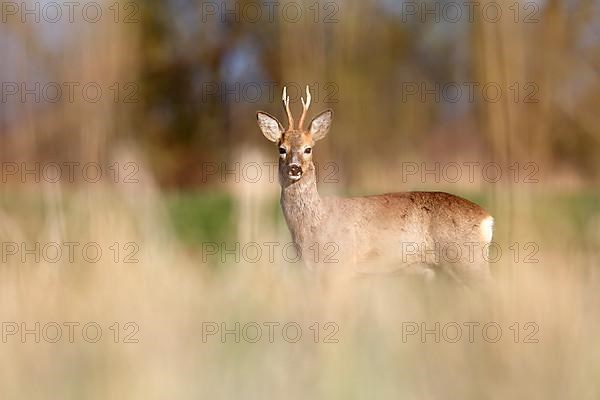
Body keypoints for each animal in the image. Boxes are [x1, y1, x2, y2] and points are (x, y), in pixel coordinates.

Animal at [255, 86, 494, 286]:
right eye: (282, 149)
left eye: (308, 148)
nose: (295, 168)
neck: (314, 224)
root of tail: (487, 219)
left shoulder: (341, 266)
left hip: (468, 260)